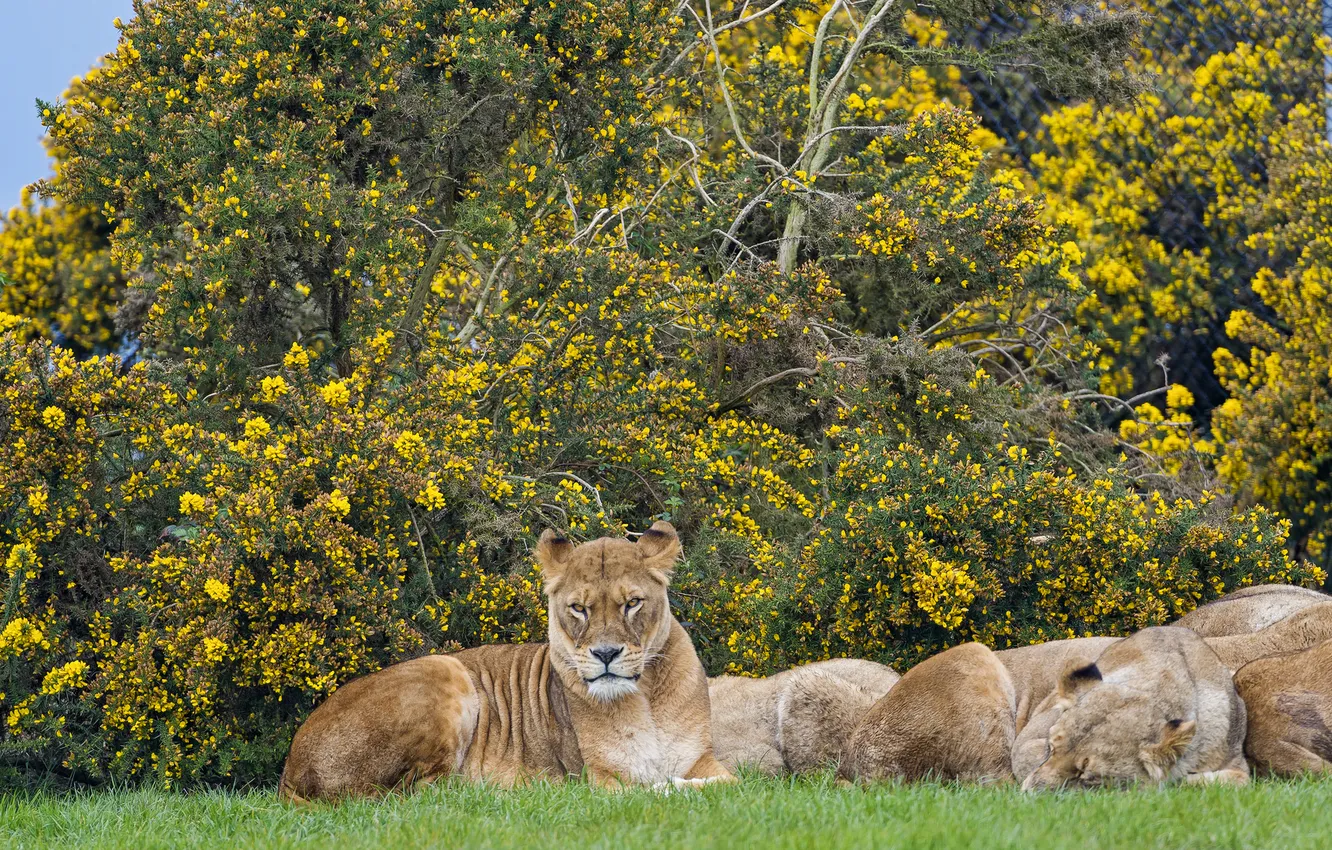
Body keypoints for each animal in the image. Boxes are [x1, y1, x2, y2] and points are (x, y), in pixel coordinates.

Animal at [279, 522, 734, 800]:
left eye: (632, 603)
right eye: (579, 609)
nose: (606, 654)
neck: (645, 698)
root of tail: (289, 771)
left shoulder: (705, 761)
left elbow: (726, 784)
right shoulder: (600, 778)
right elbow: (652, 788)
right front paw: (666, 787)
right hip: (444, 670)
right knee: (422, 795)